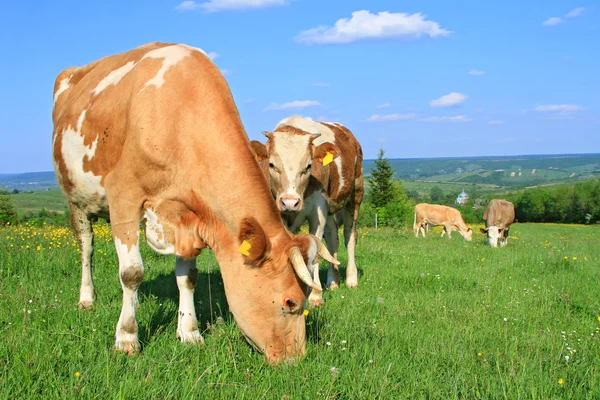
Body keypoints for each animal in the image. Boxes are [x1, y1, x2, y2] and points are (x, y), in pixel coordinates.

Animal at [51, 42, 338, 364]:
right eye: (290, 302)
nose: (295, 359)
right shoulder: (123, 196)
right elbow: (131, 273)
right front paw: (127, 338)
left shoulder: (188, 215)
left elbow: (187, 277)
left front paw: (189, 332)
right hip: (75, 199)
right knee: (86, 248)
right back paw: (87, 298)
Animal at [250, 115, 364, 306]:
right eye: (271, 164)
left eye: (308, 166)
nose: (290, 202)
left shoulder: (318, 214)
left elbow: (316, 252)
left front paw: (316, 296)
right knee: (333, 237)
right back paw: (333, 281)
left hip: (355, 193)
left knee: (350, 235)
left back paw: (351, 279)